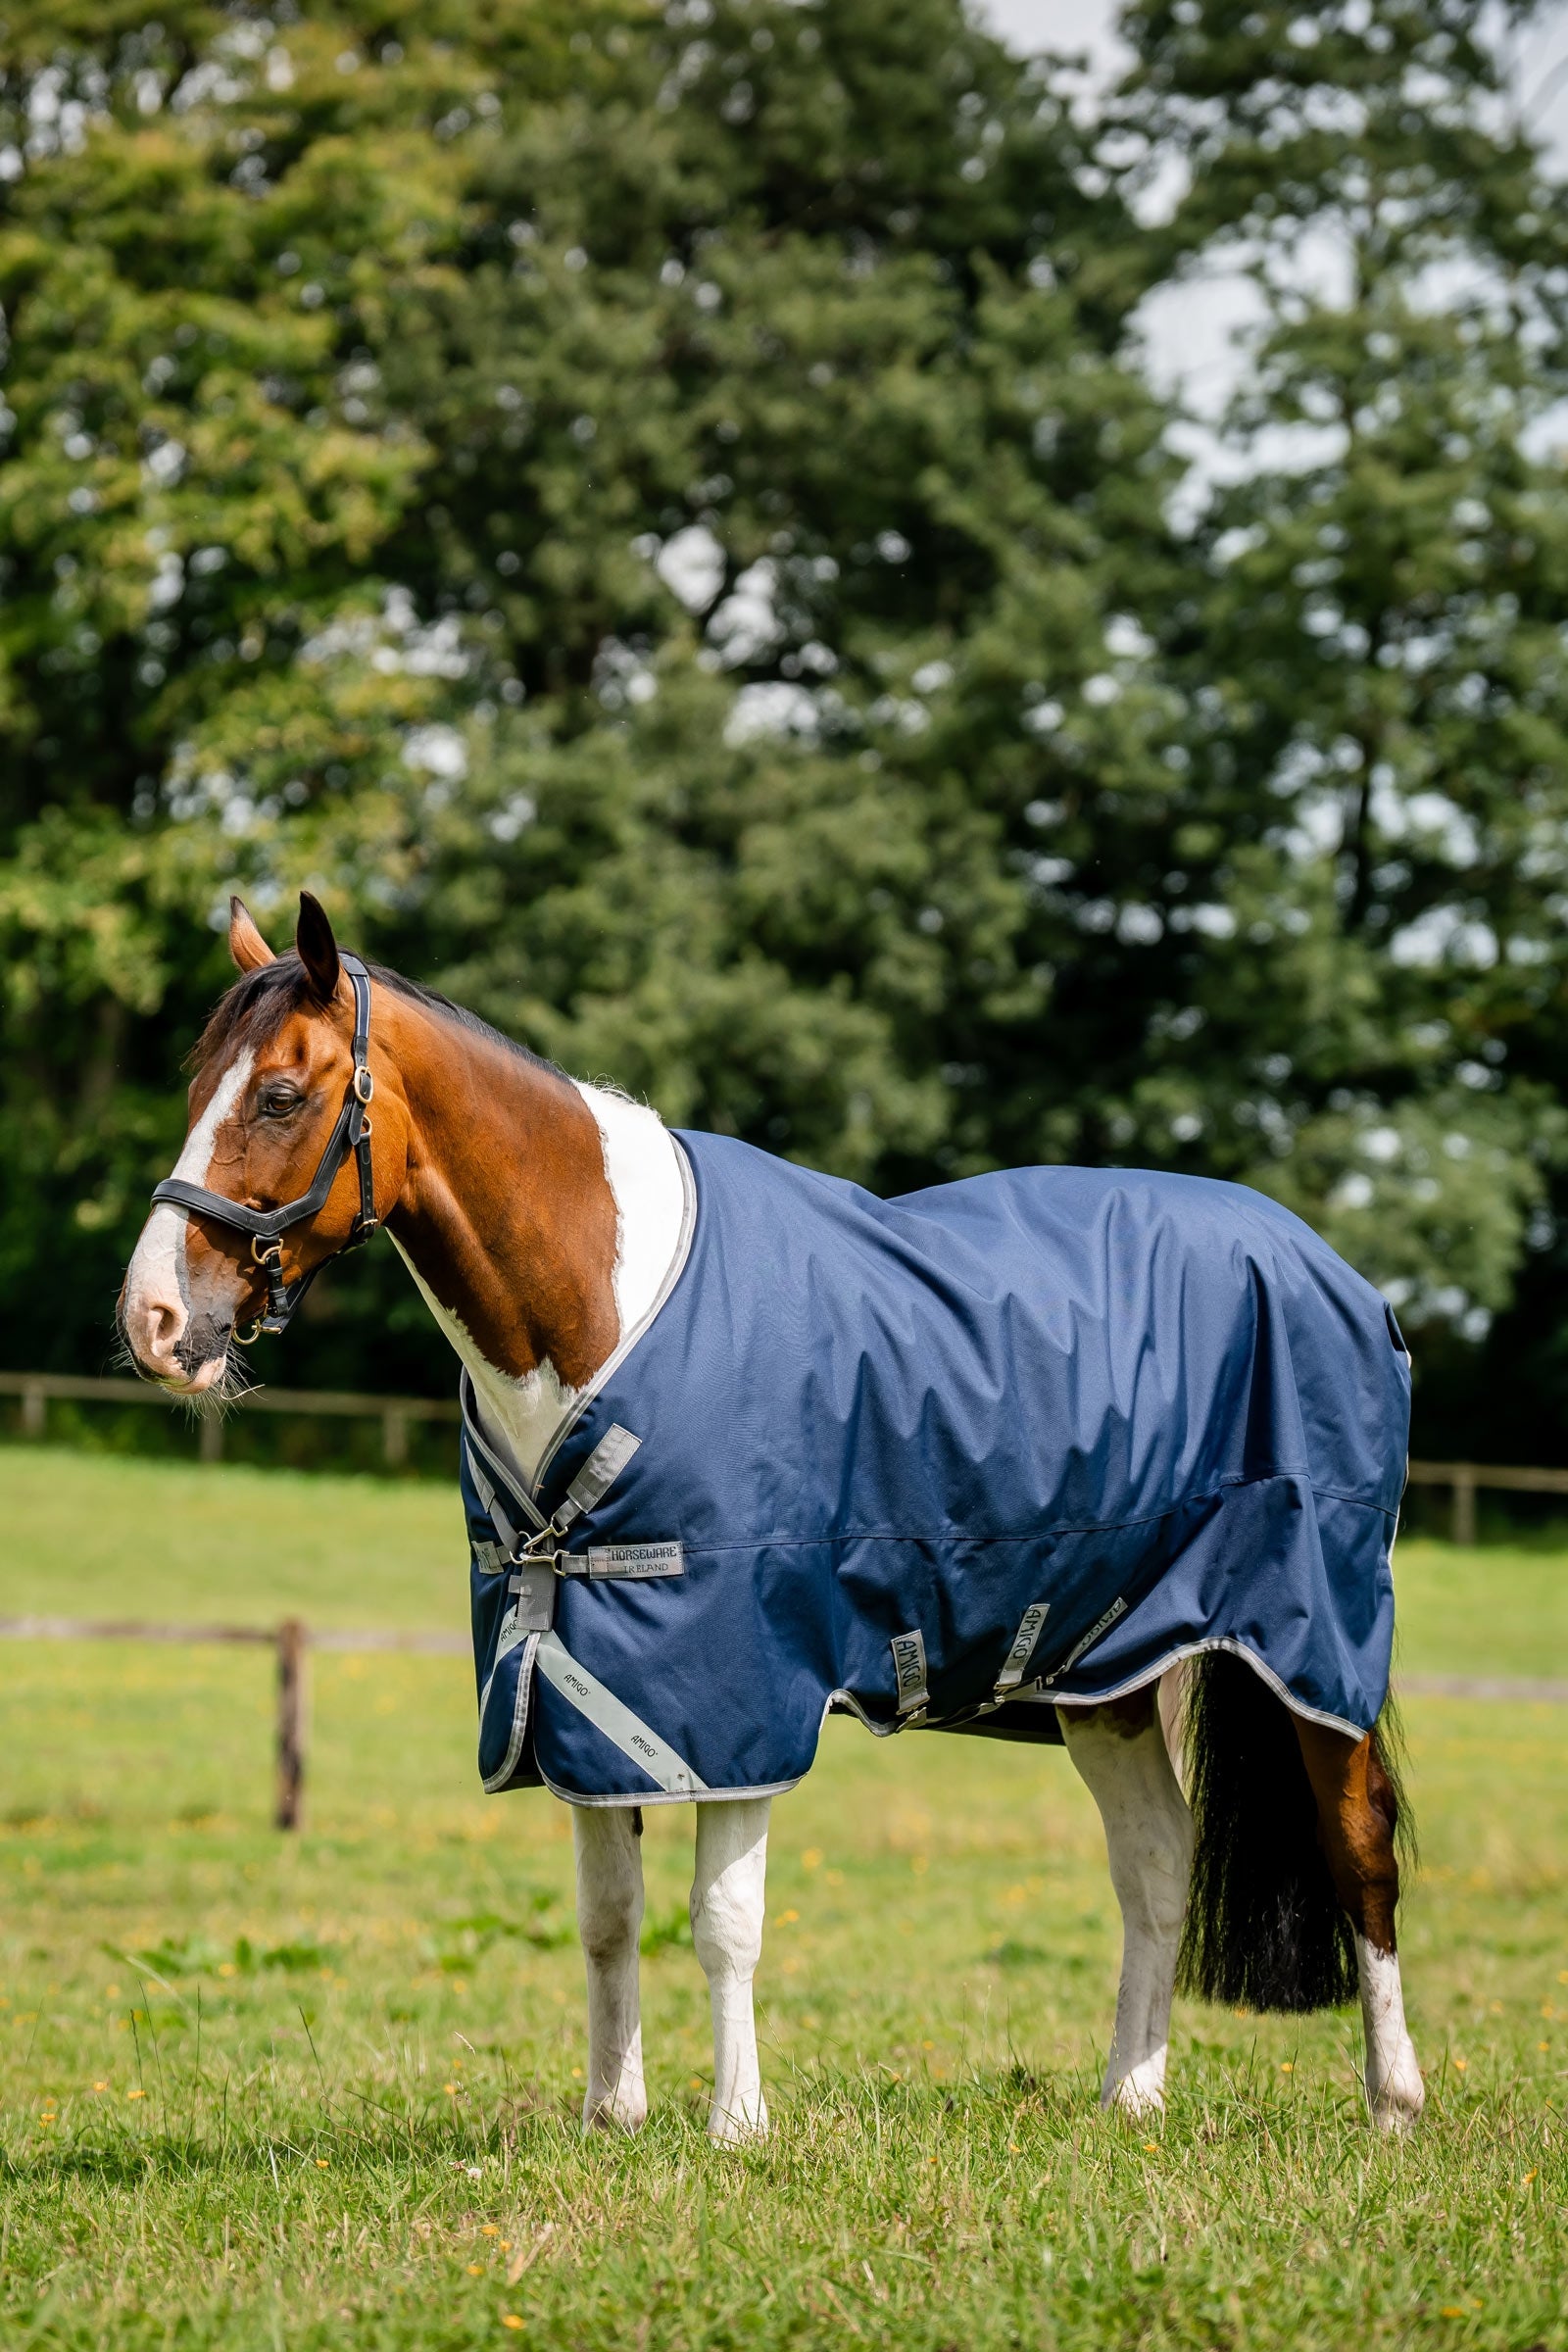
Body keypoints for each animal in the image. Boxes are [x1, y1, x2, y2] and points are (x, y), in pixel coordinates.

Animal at [118, 891, 1425, 2138]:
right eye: (191, 1088)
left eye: (281, 1096)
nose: (154, 1322)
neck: (600, 1302)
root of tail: (1333, 1270)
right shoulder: (582, 1686)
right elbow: (608, 1915)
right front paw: (611, 2114)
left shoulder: (734, 1692)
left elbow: (722, 1918)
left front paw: (735, 2124)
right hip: (1104, 1668)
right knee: (1154, 1865)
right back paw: (1130, 2098)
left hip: (1310, 1643)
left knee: (1357, 1848)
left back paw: (1391, 2101)